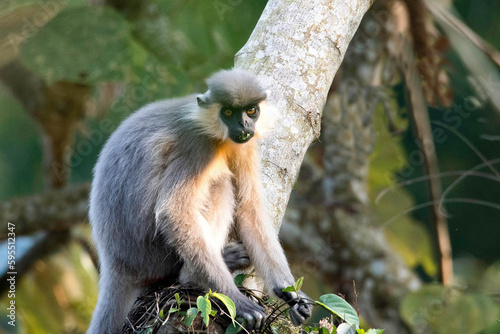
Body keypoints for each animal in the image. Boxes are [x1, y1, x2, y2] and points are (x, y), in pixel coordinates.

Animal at [88, 69, 310, 332]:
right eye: (228, 112)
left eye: (251, 111)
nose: (244, 124)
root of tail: (115, 262)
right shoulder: (196, 144)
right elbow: (173, 213)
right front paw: (236, 300)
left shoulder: (245, 143)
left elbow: (249, 209)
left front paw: (290, 294)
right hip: (152, 254)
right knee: (220, 185)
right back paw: (195, 275)